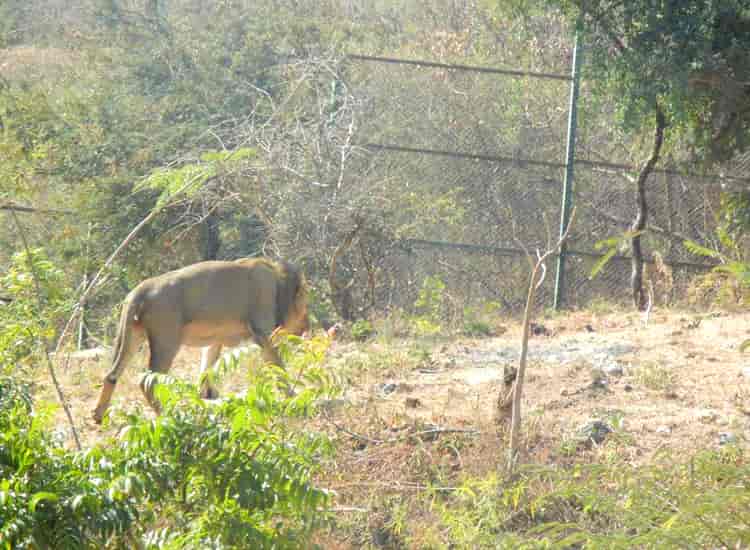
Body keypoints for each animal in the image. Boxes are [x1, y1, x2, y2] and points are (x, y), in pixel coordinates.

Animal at [92, 260, 308, 426]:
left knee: (111, 375)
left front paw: (207, 395)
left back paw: (98, 415)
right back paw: (168, 414)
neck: (276, 278)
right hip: (167, 340)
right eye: (305, 307)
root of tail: (141, 289)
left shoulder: (216, 339)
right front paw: (293, 397)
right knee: (147, 381)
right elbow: (278, 367)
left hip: (134, 336)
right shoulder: (263, 333)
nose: (307, 327)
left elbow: (206, 368)